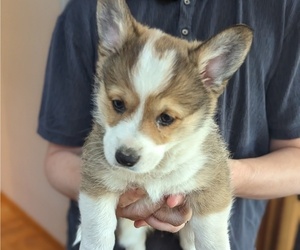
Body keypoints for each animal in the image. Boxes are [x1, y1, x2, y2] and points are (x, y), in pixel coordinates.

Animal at [77, 0, 253, 250]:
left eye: (166, 118)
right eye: (118, 104)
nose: (125, 158)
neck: (154, 172)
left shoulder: (213, 190)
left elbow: (213, 238)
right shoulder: (97, 184)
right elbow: (97, 233)